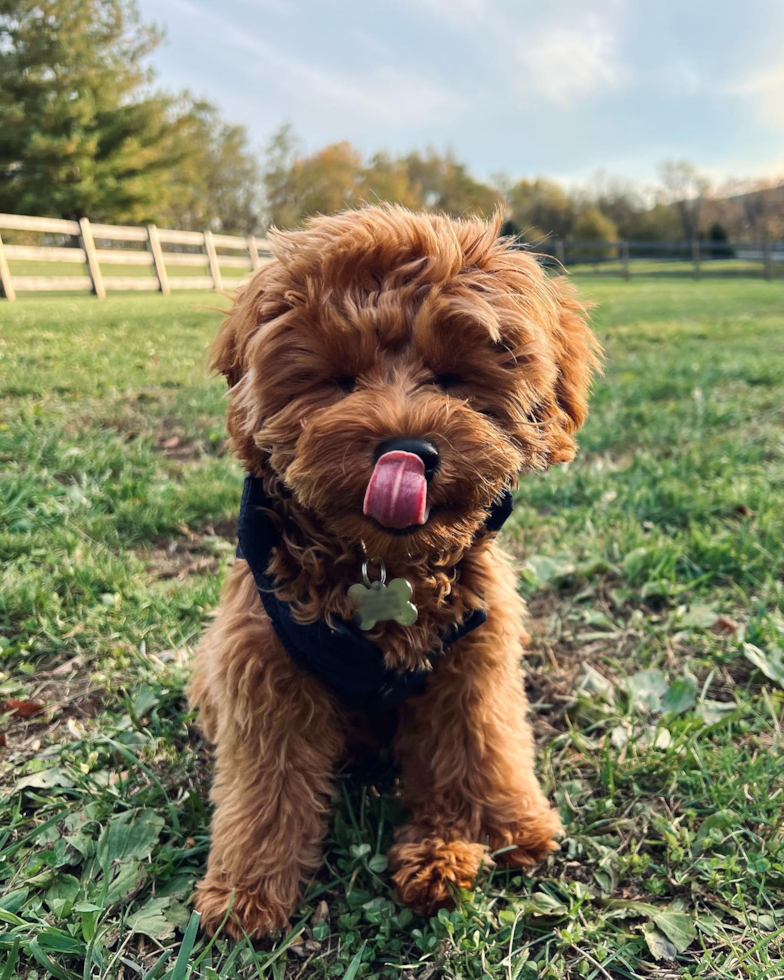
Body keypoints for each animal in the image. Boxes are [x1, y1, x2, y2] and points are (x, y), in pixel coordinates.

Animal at [188, 203, 600, 936]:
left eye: (454, 377)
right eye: (339, 380)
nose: (407, 450)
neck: (381, 566)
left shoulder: (473, 659)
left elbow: (480, 746)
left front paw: (503, 826)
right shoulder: (262, 665)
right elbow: (266, 788)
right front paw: (245, 894)